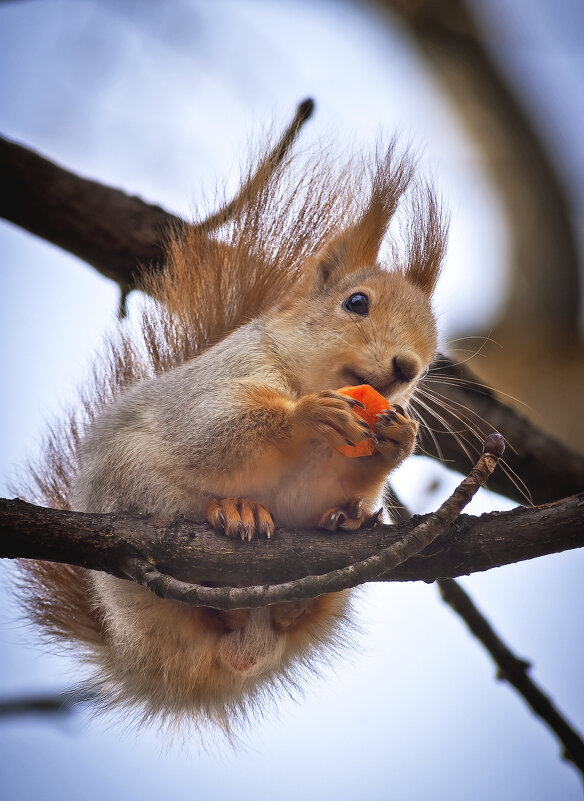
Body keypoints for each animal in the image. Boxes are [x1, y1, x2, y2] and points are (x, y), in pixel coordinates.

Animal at [17, 136, 448, 732]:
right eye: (356, 302)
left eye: (434, 340)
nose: (408, 367)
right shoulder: (213, 388)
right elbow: (213, 434)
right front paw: (304, 417)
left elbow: (336, 478)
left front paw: (391, 448)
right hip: (130, 496)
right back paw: (233, 514)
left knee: (290, 610)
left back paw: (325, 550)